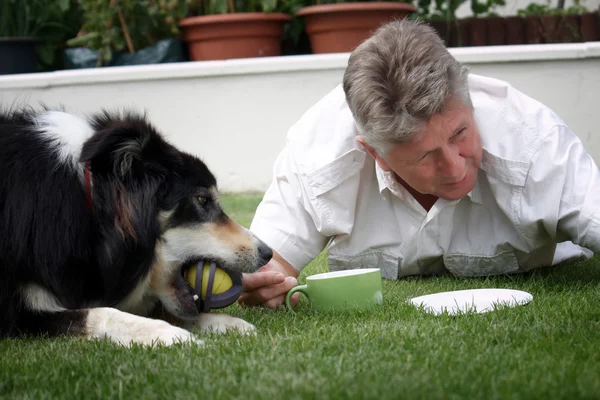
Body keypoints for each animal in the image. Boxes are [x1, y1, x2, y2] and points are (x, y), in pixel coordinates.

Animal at [0, 107, 272, 346]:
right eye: (202, 200)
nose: (268, 253)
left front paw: (223, 322)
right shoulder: (22, 313)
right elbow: (103, 313)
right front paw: (171, 335)